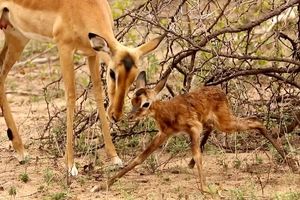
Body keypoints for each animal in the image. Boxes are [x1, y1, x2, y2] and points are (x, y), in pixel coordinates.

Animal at [0, 0, 164, 175]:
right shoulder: (65, 49)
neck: (85, 7)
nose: (116, 115)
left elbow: (98, 94)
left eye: (133, 78)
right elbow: (71, 96)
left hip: (17, 36)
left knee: (1, 74)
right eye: (112, 73)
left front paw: (115, 158)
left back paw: (21, 151)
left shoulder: (92, 54)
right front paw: (70, 165)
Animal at [105, 71, 288, 190]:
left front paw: (205, 189)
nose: (130, 116)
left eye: (145, 104)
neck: (167, 112)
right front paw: (105, 184)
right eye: (132, 101)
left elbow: (198, 155)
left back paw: (290, 163)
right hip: (216, 122)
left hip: (225, 123)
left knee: (256, 121)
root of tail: (220, 91)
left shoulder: (193, 128)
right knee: (238, 123)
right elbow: (139, 158)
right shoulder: (164, 134)